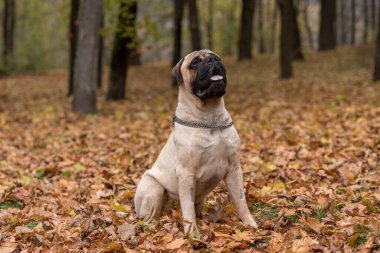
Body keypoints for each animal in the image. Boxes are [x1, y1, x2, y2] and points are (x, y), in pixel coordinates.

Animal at [134, 50, 258, 237]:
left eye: (217, 57)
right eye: (195, 63)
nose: (212, 60)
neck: (210, 118)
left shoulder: (234, 169)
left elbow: (241, 200)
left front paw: (250, 225)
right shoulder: (186, 174)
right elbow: (188, 210)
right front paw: (193, 235)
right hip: (153, 187)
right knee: (148, 217)